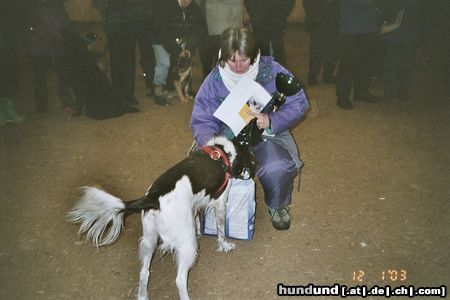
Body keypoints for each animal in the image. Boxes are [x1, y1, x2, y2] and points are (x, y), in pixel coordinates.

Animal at [66, 137, 256, 300]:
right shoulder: (220, 203)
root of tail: (154, 197)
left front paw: (201, 232)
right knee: (180, 279)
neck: (222, 153)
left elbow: (196, 219)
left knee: (144, 273)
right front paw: (224, 245)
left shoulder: (194, 205)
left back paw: (143, 296)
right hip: (187, 244)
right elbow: (221, 230)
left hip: (149, 239)